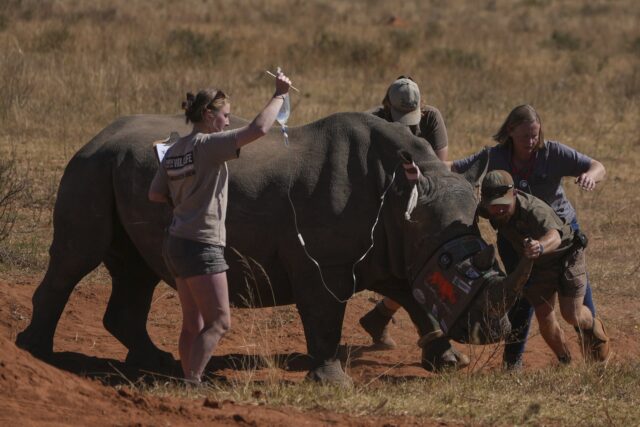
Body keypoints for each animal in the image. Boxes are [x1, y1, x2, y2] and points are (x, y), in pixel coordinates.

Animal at [16, 112, 531, 383]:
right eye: (453, 263)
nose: (493, 332)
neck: (405, 198)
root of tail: (96, 135)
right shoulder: (327, 263)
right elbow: (325, 314)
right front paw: (333, 383)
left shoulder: (401, 251)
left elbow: (419, 302)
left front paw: (449, 362)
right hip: (90, 166)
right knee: (76, 257)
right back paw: (37, 354)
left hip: (117, 168)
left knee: (136, 269)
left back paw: (154, 363)